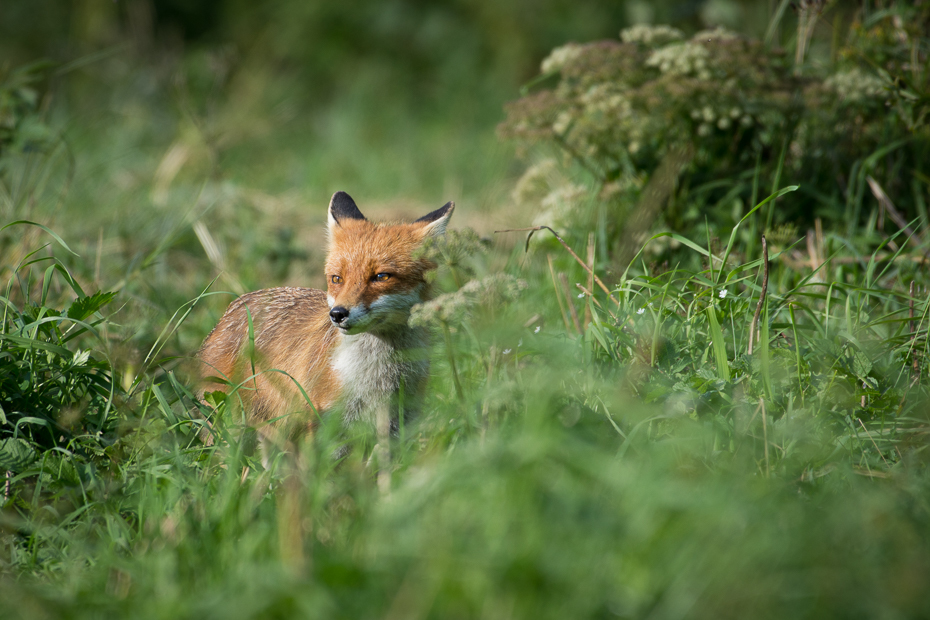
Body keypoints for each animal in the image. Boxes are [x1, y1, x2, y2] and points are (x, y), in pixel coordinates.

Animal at [199, 191, 454, 438]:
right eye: (337, 279)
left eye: (381, 277)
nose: (338, 314)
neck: (379, 376)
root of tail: (236, 305)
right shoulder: (326, 423)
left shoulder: (399, 424)